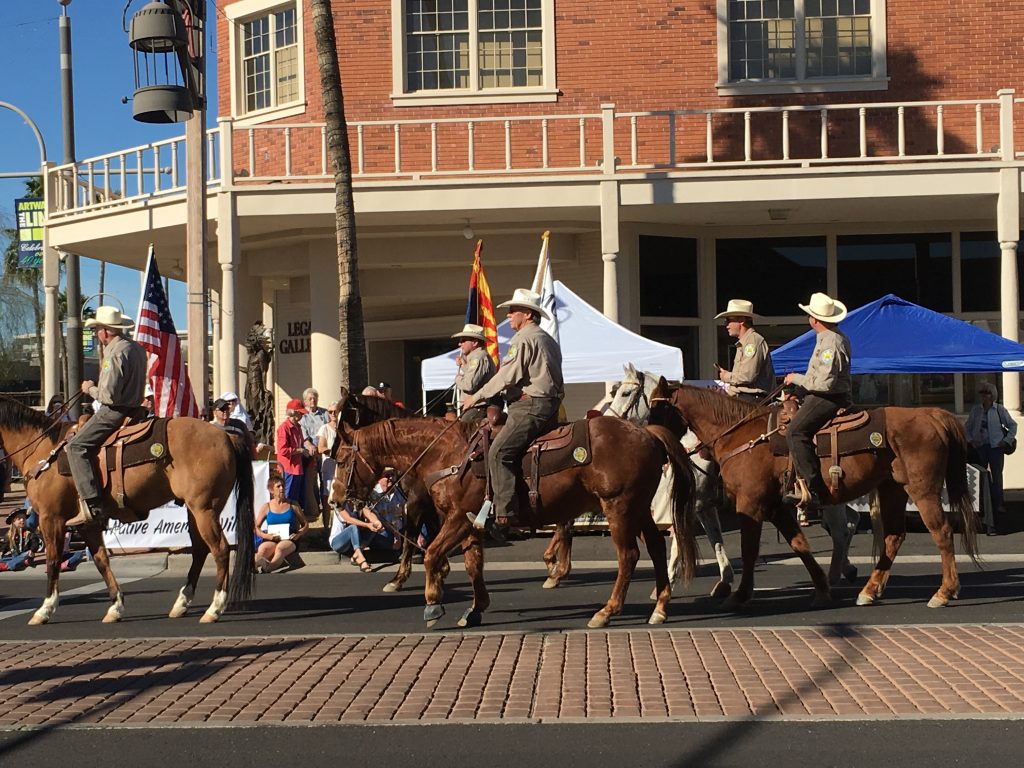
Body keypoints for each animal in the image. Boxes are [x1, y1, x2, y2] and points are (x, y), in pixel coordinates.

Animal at [0, 397, 256, 626]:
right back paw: (182, 603)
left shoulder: (50, 518)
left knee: (220, 549)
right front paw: (115, 606)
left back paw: (214, 608)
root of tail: (226, 436)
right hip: (195, 510)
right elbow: (102, 561)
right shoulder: (88, 524)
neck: (43, 452)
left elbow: (53, 561)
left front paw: (45, 609)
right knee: (201, 550)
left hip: (204, 509)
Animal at [331, 417, 700, 626]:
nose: (335, 499)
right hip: (639, 508)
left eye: (341, 459)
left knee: (628, 556)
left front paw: (433, 603)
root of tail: (645, 431)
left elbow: (434, 554)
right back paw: (660, 607)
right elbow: (473, 564)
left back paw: (607, 611)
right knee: (655, 547)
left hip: (619, 507)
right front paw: (475, 608)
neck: (448, 454)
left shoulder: (457, 519)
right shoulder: (470, 523)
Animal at [602, 364, 733, 598]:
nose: (608, 421)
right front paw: (725, 579)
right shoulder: (704, 506)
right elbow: (716, 539)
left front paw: (666, 583)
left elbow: (678, 543)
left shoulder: (685, 506)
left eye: (626, 393)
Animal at [651, 382, 978, 610]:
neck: (742, 436)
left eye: (657, 409)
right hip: (892, 490)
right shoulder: (776, 508)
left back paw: (944, 592)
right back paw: (868, 590)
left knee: (941, 531)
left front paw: (738, 596)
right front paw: (821, 590)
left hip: (922, 490)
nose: (650, 439)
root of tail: (933, 415)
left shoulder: (751, 505)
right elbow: (799, 545)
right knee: (893, 536)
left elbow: (748, 550)